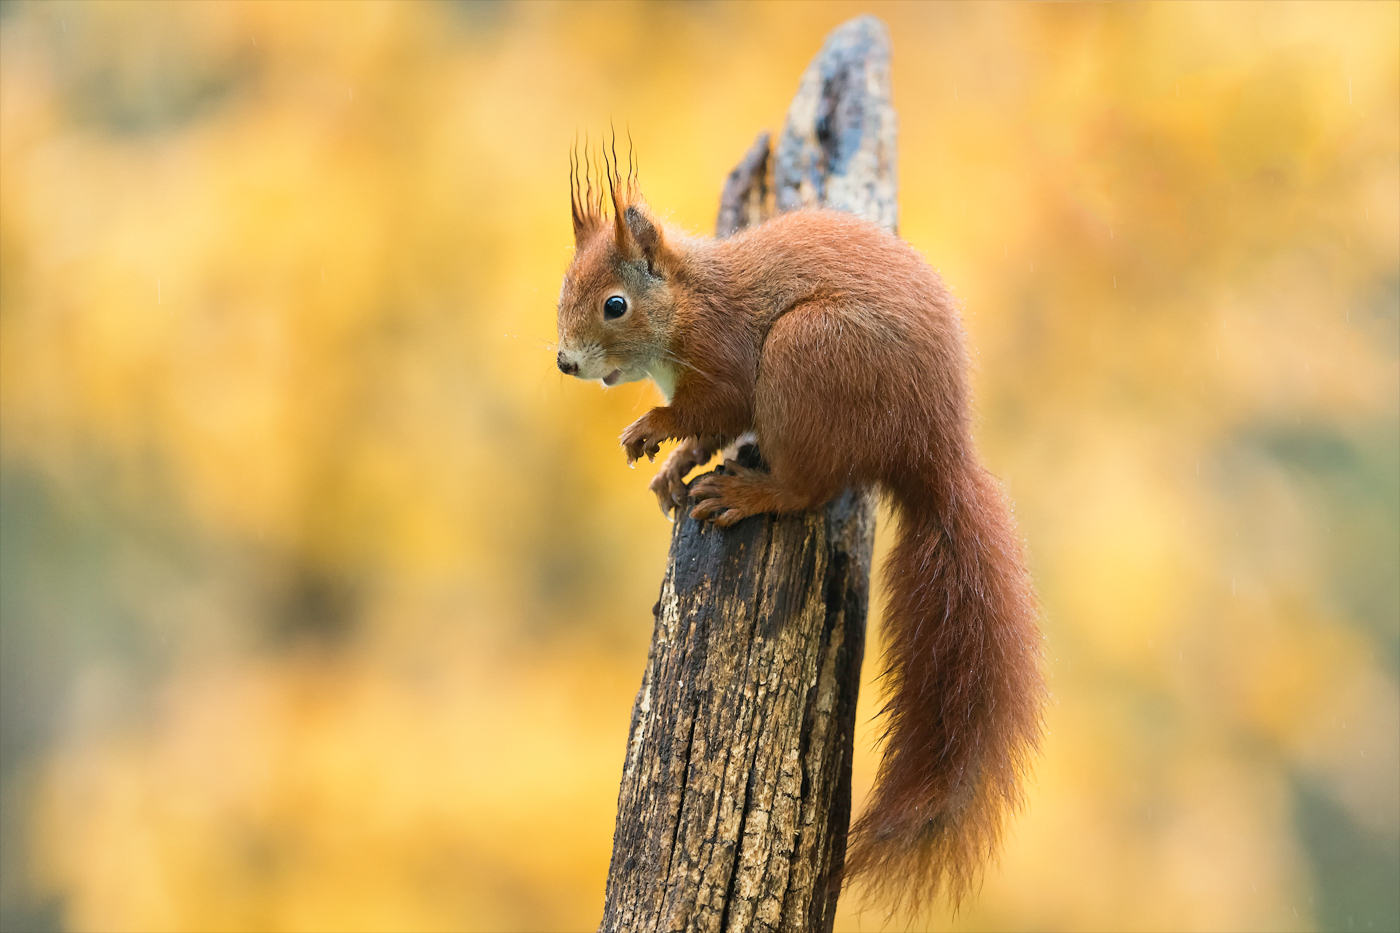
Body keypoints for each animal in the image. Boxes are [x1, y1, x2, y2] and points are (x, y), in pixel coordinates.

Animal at [551, 154, 1047, 907]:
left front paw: (652, 431)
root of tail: (930, 446)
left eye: (614, 304)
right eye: (564, 288)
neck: (688, 303)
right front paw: (672, 468)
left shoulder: (725, 359)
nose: (566, 362)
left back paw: (750, 491)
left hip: (807, 356)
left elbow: (714, 409)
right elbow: (709, 432)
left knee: (810, 489)